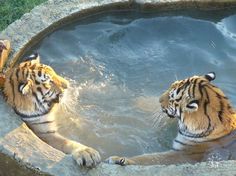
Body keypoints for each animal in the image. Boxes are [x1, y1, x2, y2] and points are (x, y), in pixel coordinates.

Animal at [107, 72, 236, 166]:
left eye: (171, 97)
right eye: (170, 86)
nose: (159, 100)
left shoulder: (183, 155)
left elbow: (151, 158)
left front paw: (119, 159)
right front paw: (139, 100)